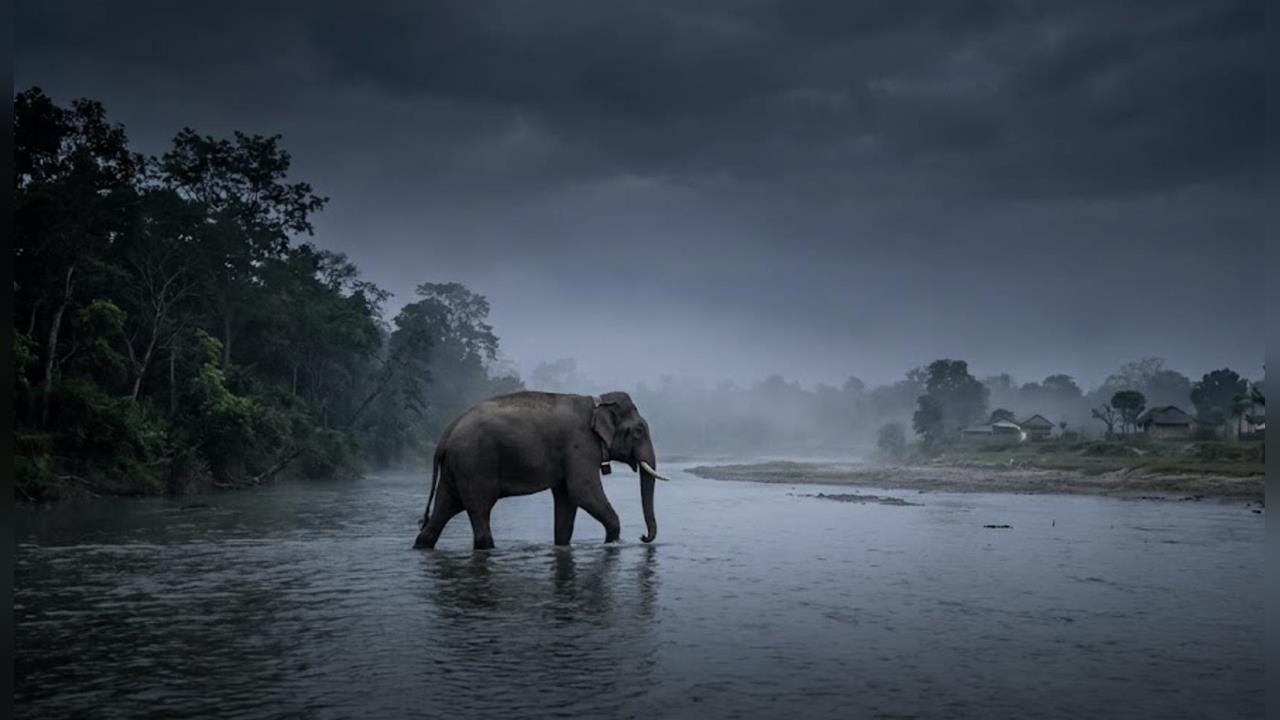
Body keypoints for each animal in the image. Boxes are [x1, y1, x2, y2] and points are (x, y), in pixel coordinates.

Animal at [412, 391, 672, 550]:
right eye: (639, 431)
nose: (643, 537)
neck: (597, 401)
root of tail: (446, 434)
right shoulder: (580, 445)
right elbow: (583, 491)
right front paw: (611, 542)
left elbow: (567, 499)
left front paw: (563, 545)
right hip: (474, 465)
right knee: (480, 511)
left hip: (455, 469)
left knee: (443, 510)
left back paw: (422, 544)